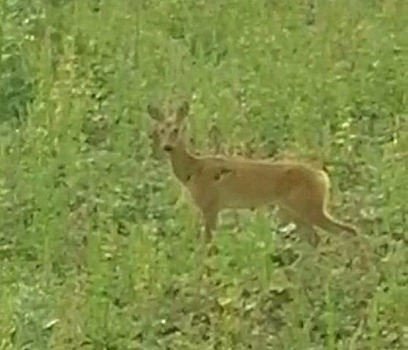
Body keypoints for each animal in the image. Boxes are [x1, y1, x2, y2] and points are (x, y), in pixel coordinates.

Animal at [148, 100, 358, 246]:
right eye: (160, 130)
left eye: (176, 129)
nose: (167, 147)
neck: (193, 171)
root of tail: (322, 177)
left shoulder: (210, 206)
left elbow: (208, 244)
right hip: (294, 211)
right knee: (317, 238)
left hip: (309, 207)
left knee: (349, 231)